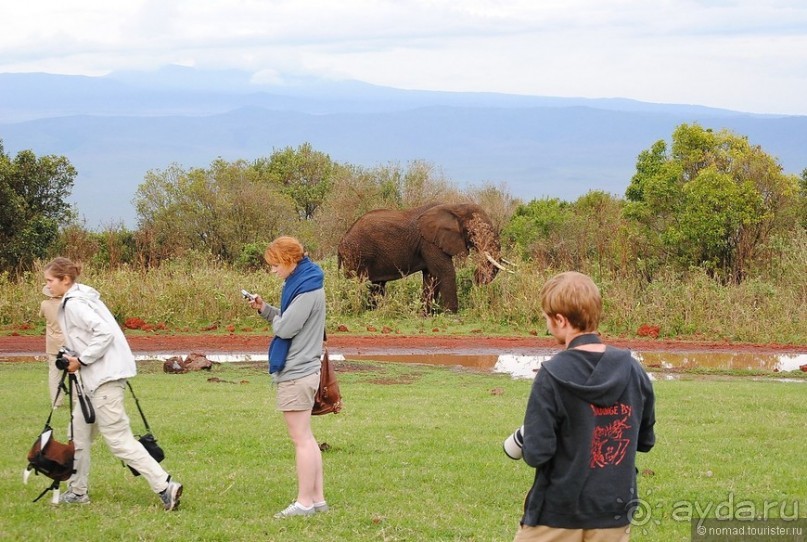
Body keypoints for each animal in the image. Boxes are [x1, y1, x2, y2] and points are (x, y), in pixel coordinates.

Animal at [338, 203, 508, 314]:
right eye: (473, 232)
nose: (476, 279)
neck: (454, 206)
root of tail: (342, 240)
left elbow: (431, 277)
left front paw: (426, 314)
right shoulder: (429, 242)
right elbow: (445, 272)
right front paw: (452, 314)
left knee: (377, 285)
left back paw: (373, 311)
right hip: (355, 253)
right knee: (356, 282)